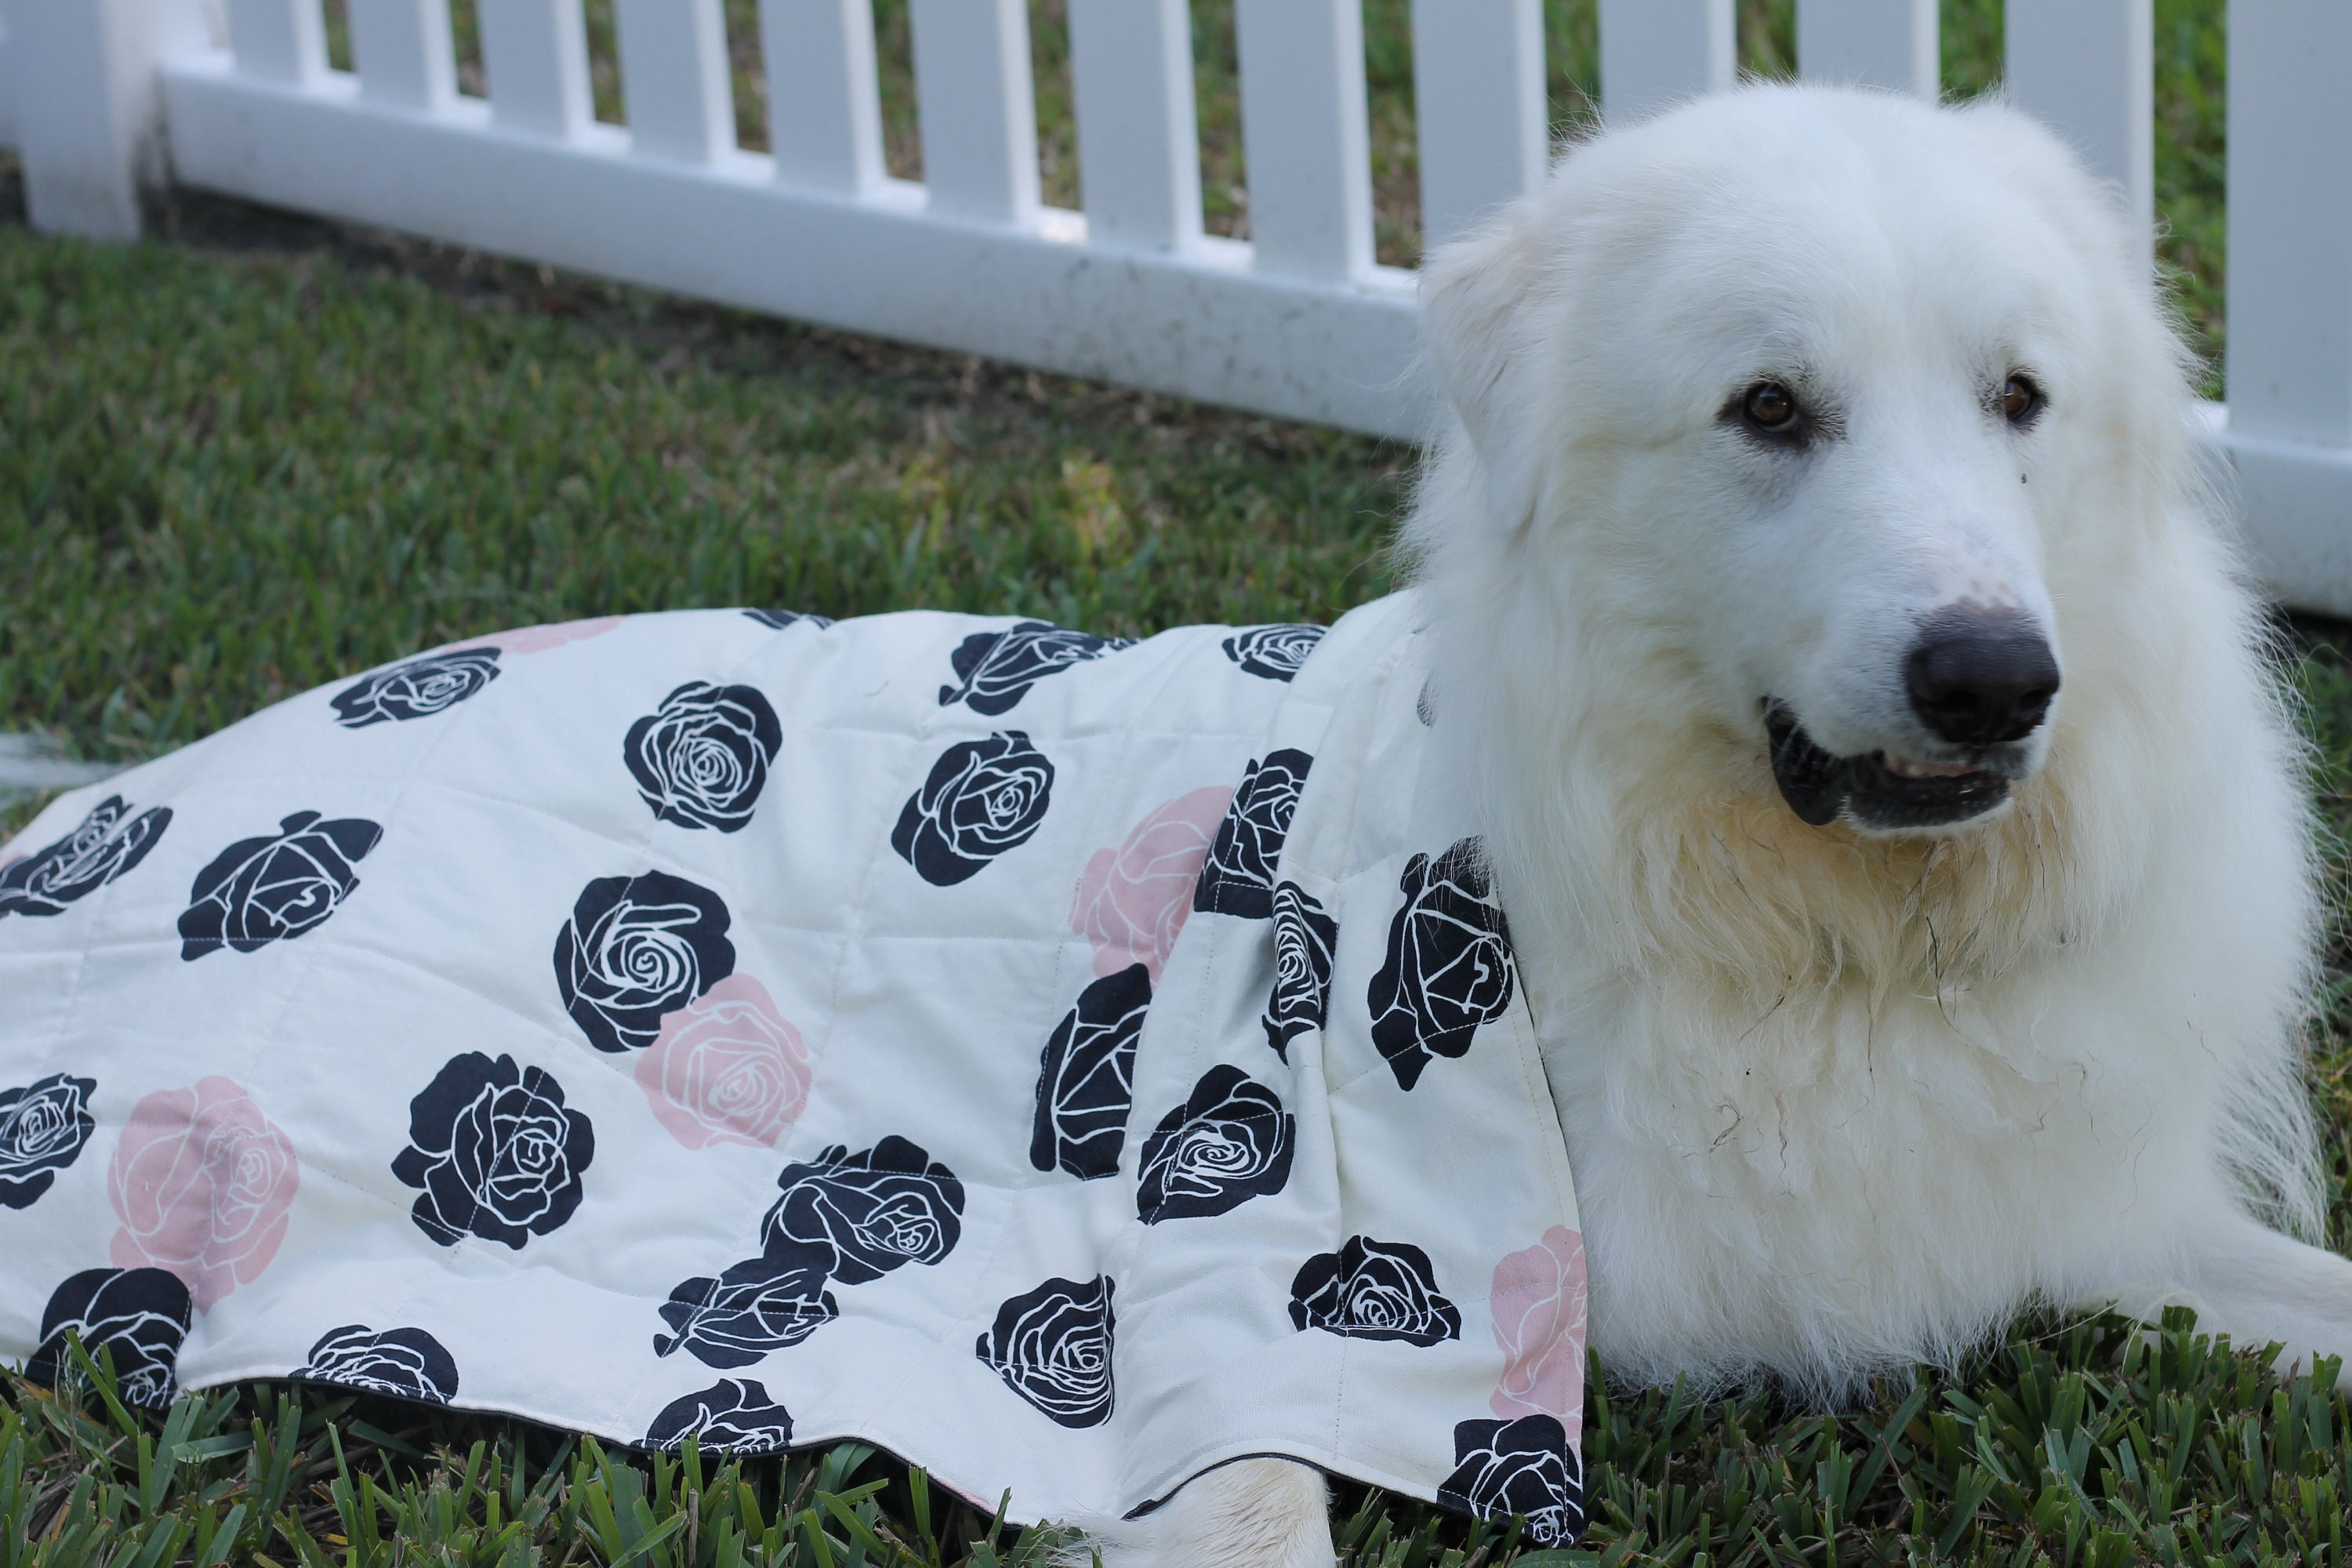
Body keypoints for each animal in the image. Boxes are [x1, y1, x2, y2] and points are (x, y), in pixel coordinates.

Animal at [1091, 85, 2352, 1568]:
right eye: (1768, 407)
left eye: (2018, 399)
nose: (1995, 681)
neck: (1835, 959)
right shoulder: (1262, 1289)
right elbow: (1254, 1493)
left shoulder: (2097, 1222)